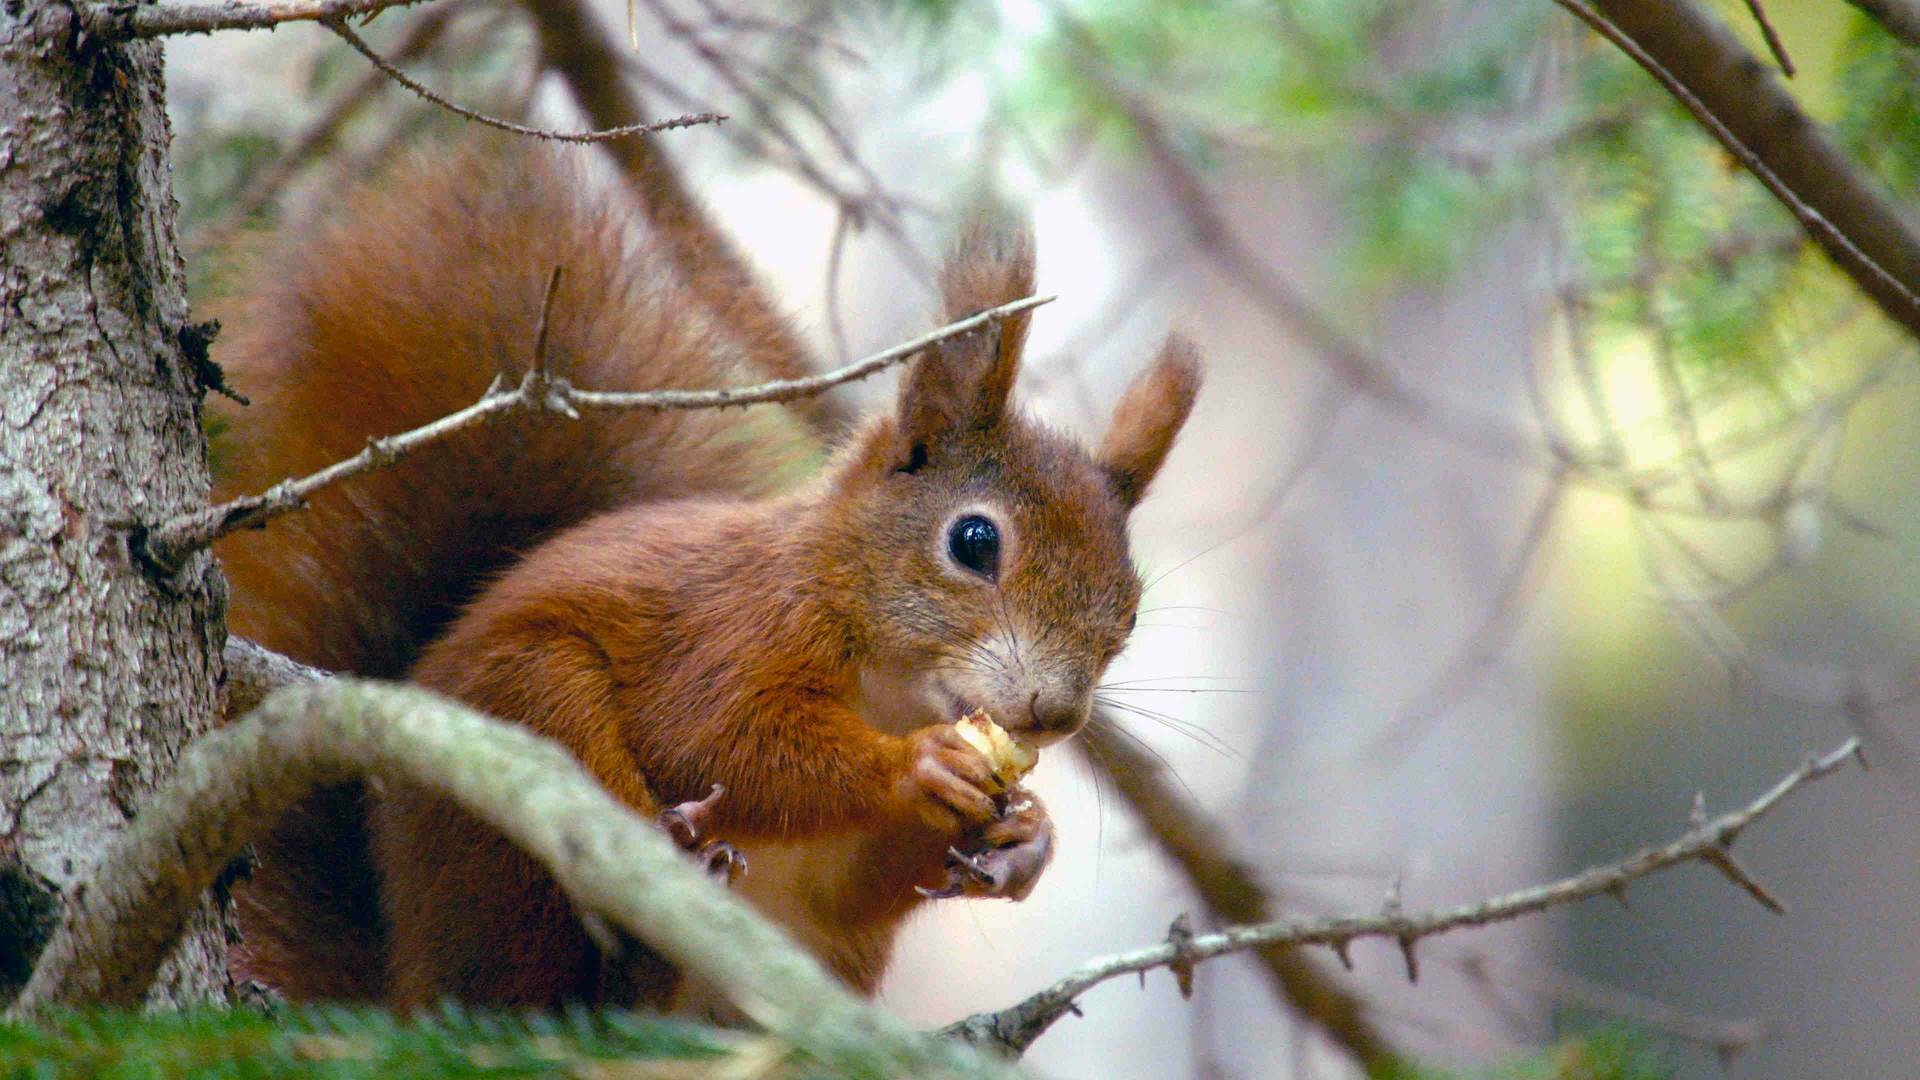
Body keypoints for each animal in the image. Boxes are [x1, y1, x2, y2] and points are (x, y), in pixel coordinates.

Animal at [210, 140, 1200, 1010]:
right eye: (975, 542)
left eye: (1130, 612)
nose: (1056, 715)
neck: (889, 683)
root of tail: (406, 982)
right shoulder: (730, 631)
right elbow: (719, 739)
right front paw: (916, 767)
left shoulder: (839, 887)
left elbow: (861, 883)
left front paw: (1026, 840)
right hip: (525, 728)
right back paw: (663, 883)